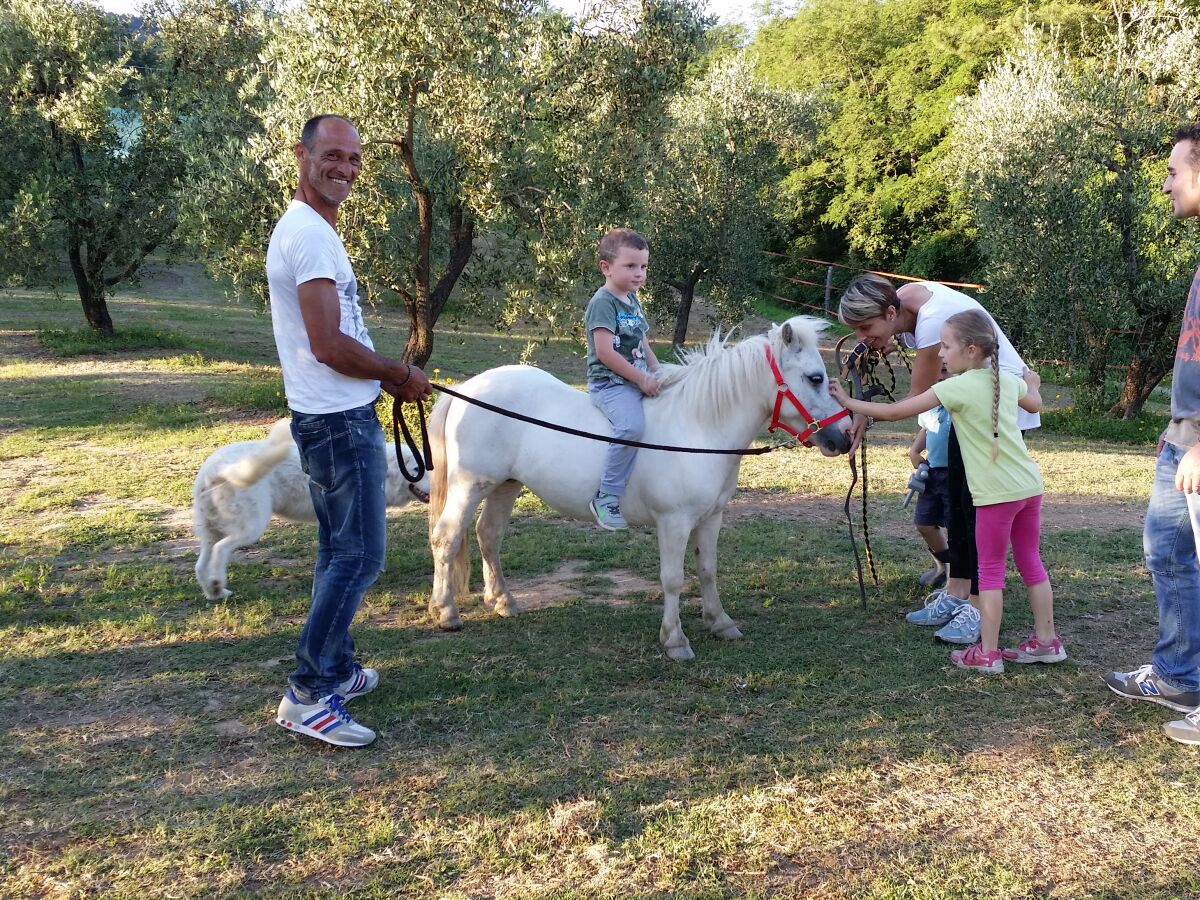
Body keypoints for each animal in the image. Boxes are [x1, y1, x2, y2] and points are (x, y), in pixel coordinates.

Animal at [189, 420, 429, 602]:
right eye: (417, 469)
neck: (386, 471)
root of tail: (216, 470)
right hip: (250, 527)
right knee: (220, 550)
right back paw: (217, 584)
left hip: (211, 530)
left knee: (200, 565)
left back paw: (214, 592)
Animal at [427, 316, 849, 662]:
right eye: (815, 377)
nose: (844, 437)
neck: (698, 427)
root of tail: (468, 388)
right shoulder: (674, 522)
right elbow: (673, 578)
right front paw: (675, 641)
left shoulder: (711, 517)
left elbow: (708, 569)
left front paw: (720, 622)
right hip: (470, 485)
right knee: (446, 538)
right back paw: (446, 612)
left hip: (506, 485)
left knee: (488, 535)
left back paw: (503, 601)